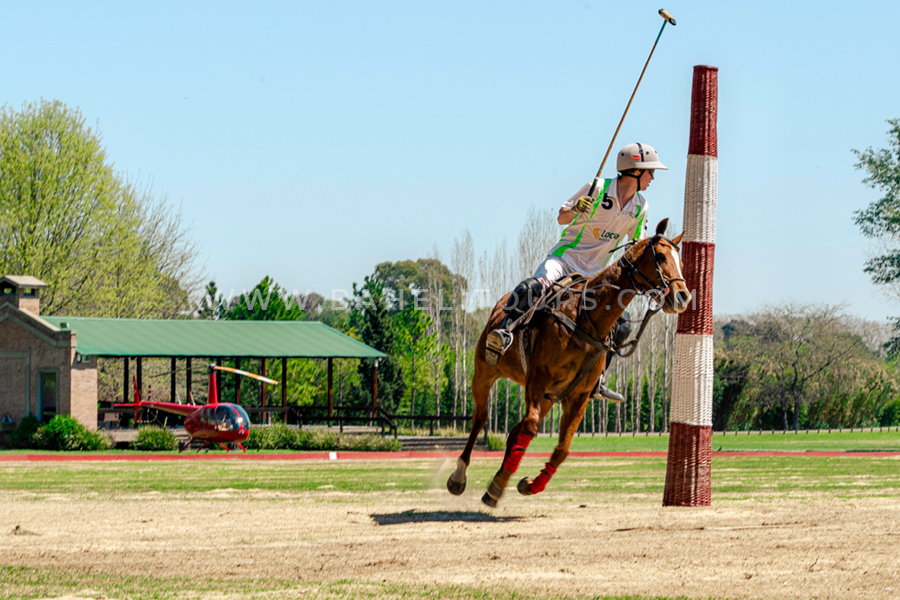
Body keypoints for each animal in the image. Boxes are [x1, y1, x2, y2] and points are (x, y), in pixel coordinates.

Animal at [448, 220, 688, 506]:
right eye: (660, 256)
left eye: (681, 262)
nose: (683, 297)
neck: (586, 315)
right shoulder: (538, 379)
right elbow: (531, 428)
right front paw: (502, 482)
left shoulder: (578, 395)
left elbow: (562, 448)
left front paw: (527, 484)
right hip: (484, 371)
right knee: (481, 419)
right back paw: (459, 476)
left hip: (550, 398)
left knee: (515, 431)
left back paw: (499, 480)